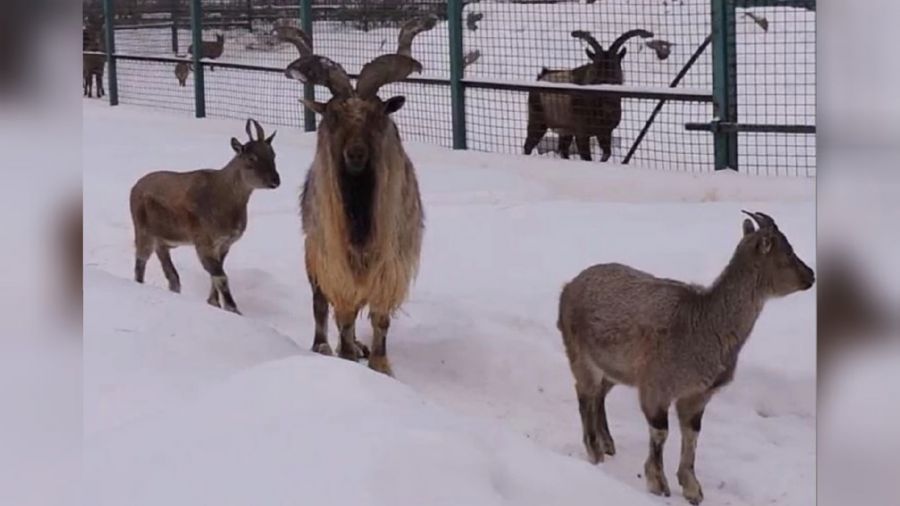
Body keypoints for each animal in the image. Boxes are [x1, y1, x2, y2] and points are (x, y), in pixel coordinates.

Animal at [284, 14, 434, 376]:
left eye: (377, 115)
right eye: (333, 115)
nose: (355, 155)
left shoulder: (390, 265)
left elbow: (380, 318)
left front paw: (380, 364)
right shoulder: (334, 262)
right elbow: (343, 314)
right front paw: (349, 358)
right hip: (314, 256)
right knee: (321, 307)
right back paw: (325, 347)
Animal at [560, 211, 812, 504]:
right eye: (788, 252)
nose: (811, 275)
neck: (704, 325)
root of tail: (568, 287)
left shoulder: (697, 394)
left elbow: (692, 434)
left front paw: (692, 487)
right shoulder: (656, 385)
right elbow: (660, 432)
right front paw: (658, 482)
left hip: (614, 367)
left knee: (599, 395)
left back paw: (608, 442)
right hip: (581, 354)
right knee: (585, 395)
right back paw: (594, 450)